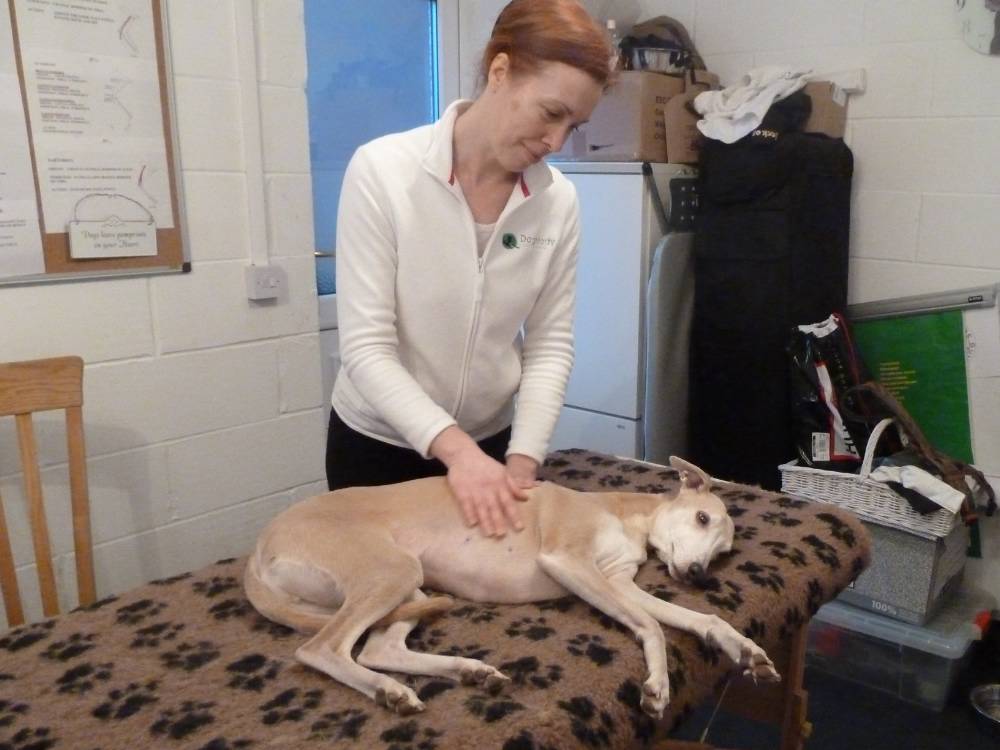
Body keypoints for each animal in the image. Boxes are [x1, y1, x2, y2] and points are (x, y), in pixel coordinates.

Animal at [244, 456, 779, 718]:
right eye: (702, 517)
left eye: (723, 553)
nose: (700, 575)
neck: (624, 514)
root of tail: (258, 548)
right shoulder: (569, 561)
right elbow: (653, 624)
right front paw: (658, 685)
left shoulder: (616, 581)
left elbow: (698, 618)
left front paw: (745, 650)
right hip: (391, 575)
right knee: (321, 649)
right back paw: (389, 691)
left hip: (412, 588)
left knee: (379, 649)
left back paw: (467, 672)